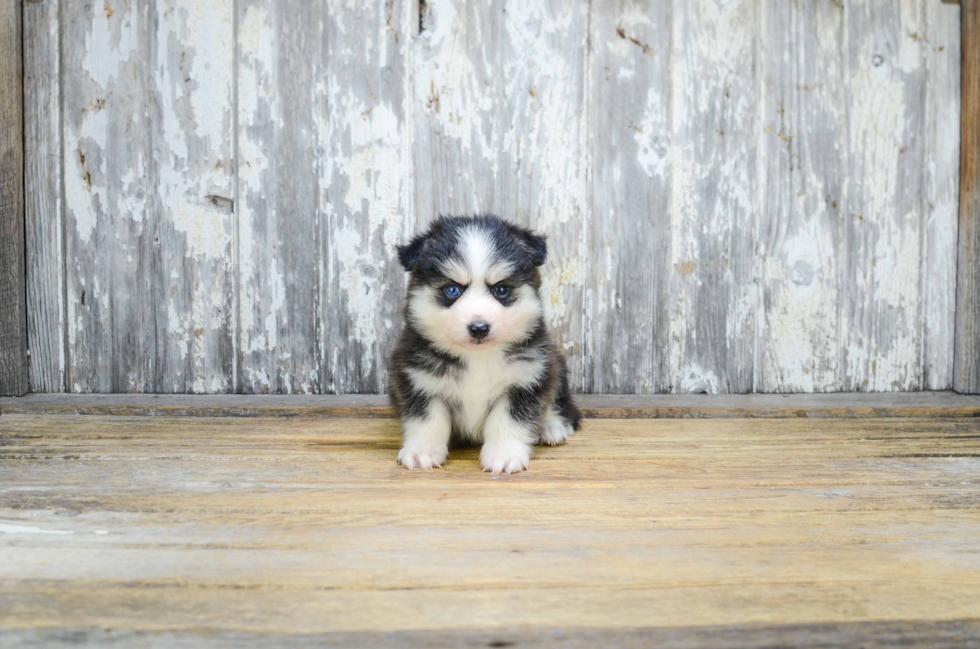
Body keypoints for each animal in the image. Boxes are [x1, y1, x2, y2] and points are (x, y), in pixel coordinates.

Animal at [388, 215, 580, 474]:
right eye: (452, 289)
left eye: (501, 289)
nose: (479, 328)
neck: (477, 358)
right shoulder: (418, 380)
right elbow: (427, 419)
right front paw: (422, 451)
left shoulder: (526, 379)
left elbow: (508, 420)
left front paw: (504, 454)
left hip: (555, 367)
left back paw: (551, 427)